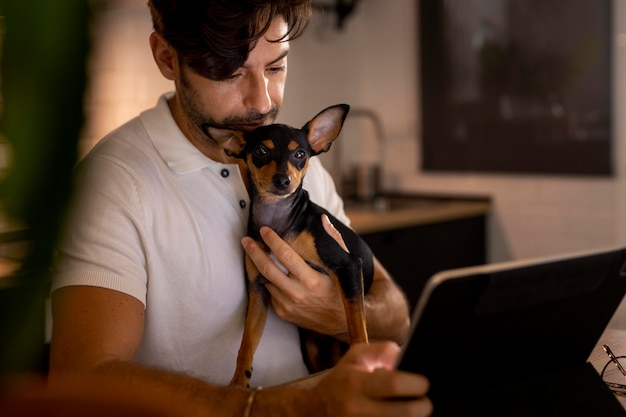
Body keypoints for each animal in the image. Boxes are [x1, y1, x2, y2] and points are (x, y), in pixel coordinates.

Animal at [211, 104, 376, 386]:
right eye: (260, 151)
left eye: (300, 154)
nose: (283, 180)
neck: (278, 220)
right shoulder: (258, 292)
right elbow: (247, 343)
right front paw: (238, 381)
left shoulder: (348, 266)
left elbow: (356, 326)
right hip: (311, 348)